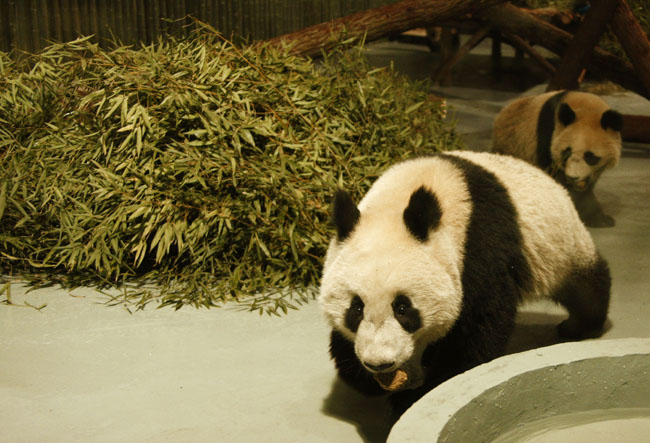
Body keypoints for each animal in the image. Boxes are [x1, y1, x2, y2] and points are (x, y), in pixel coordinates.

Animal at [318, 151, 608, 414]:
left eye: (403, 308)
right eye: (356, 308)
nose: (380, 363)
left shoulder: (478, 247)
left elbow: (478, 329)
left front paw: (414, 395)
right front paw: (365, 378)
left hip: (558, 246)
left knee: (584, 285)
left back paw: (579, 326)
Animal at [492, 90, 624, 229]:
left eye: (590, 157)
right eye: (567, 152)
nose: (573, 177)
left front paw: (600, 218)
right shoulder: (548, 134)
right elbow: (555, 177)